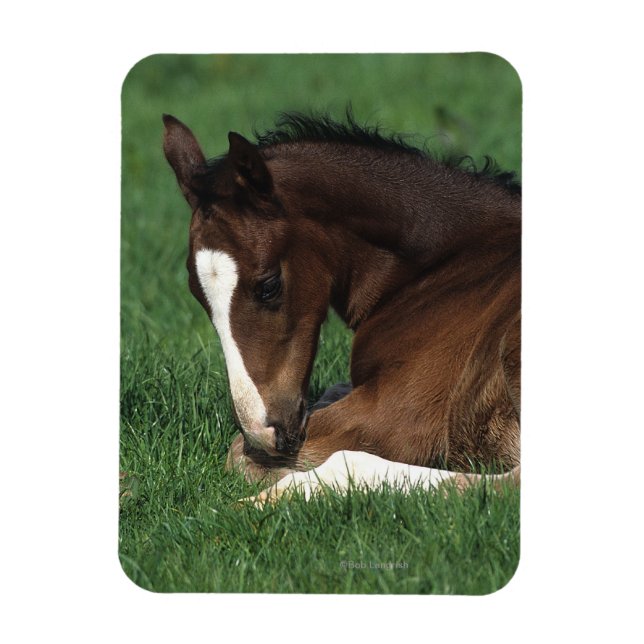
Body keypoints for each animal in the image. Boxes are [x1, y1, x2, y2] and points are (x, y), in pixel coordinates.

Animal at [162, 111, 521, 504]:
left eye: (268, 286)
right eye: (198, 294)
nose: (264, 432)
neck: (446, 266)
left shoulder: (402, 413)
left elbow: (237, 452)